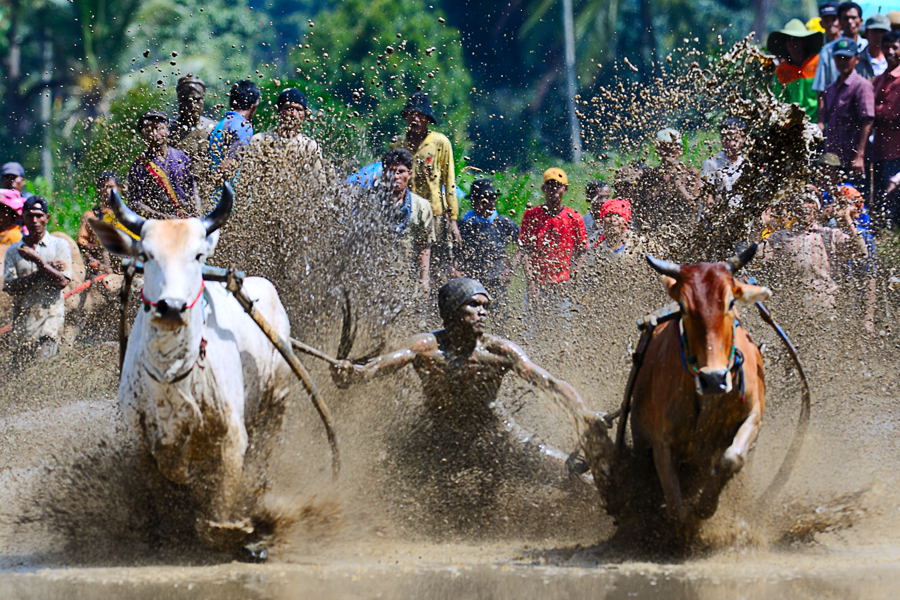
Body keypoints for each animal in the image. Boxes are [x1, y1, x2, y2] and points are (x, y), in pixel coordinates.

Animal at [89, 188, 290, 556]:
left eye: (197, 255)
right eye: (146, 255)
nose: (171, 307)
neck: (171, 373)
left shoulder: (231, 433)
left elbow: (224, 493)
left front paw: (229, 530)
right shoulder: (139, 438)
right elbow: (162, 482)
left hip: (277, 399)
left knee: (264, 451)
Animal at [628, 244, 768, 524]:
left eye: (731, 302)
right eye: (683, 306)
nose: (713, 378)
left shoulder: (754, 415)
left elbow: (732, 457)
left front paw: (707, 504)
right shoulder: (661, 442)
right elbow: (676, 507)